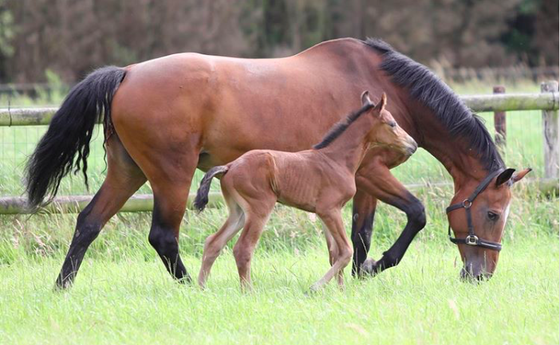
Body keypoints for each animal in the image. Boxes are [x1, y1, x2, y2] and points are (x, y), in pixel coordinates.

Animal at [192, 92, 416, 290]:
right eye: (392, 123)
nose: (412, 144)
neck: (337, 160)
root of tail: (229, 166)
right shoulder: (329, 210)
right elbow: (345, 251)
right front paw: (315, 288)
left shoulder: (327, 213)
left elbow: (334, 253)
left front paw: (340, 291)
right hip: (260, 208)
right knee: (243, 248)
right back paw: (248, 292)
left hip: (238, 212)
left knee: (213, 243)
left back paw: (201, 288)